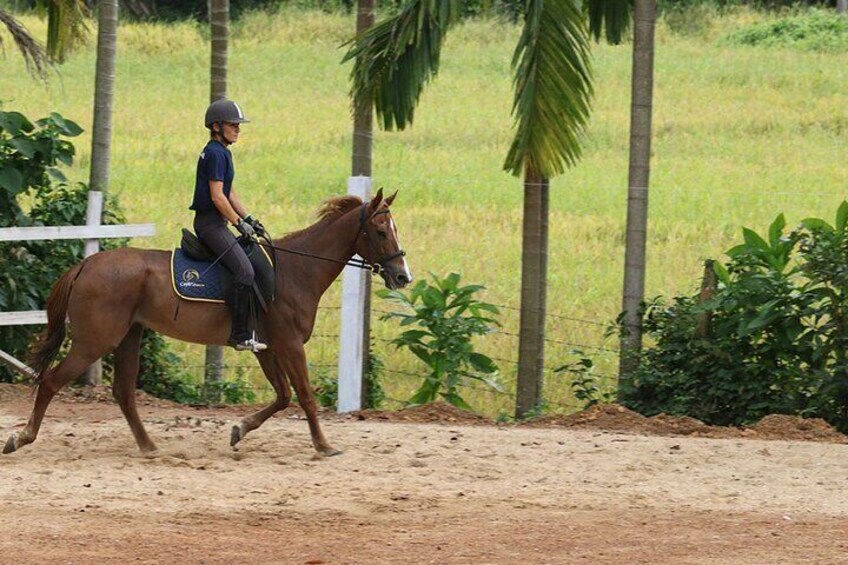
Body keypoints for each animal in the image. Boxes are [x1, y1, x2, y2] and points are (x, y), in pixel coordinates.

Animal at [0, 192, 410, 456]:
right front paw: (324, 446)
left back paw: (149, 447)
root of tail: (85, 265)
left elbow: (283, 396)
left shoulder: (266, 347)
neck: (296, 270)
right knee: (51, 382)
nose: (403, 276)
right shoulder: (289, 345)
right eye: (379, 232)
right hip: (95, 341)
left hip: (129, 336)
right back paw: (21, 439)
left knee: (123, 393)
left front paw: (239, 430)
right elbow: (305, 396)